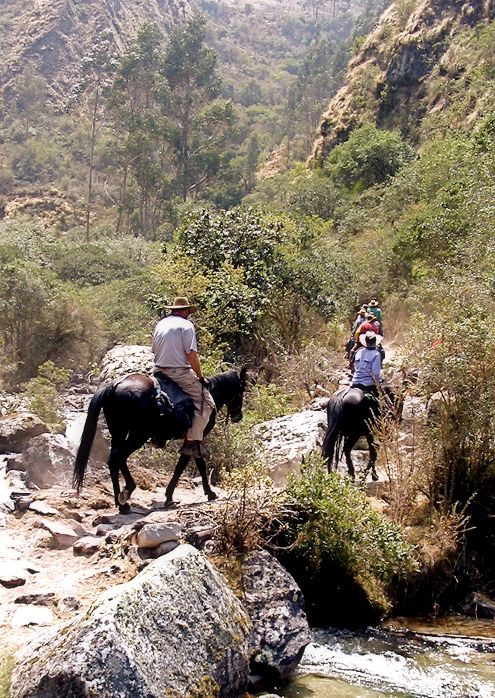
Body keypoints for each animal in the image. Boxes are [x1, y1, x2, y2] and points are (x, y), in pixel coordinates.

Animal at [73, 364, 248, 512]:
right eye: (242, 390)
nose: (238, 416)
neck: (211, 392)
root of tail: (113, 386)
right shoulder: (196, 435)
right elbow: (190, 465)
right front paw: (206, 493)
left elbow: (186, 464)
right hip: (138, 435)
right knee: (118, 457)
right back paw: (127, 494)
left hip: (119, 432)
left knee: (114, 459)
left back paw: (121, 502)